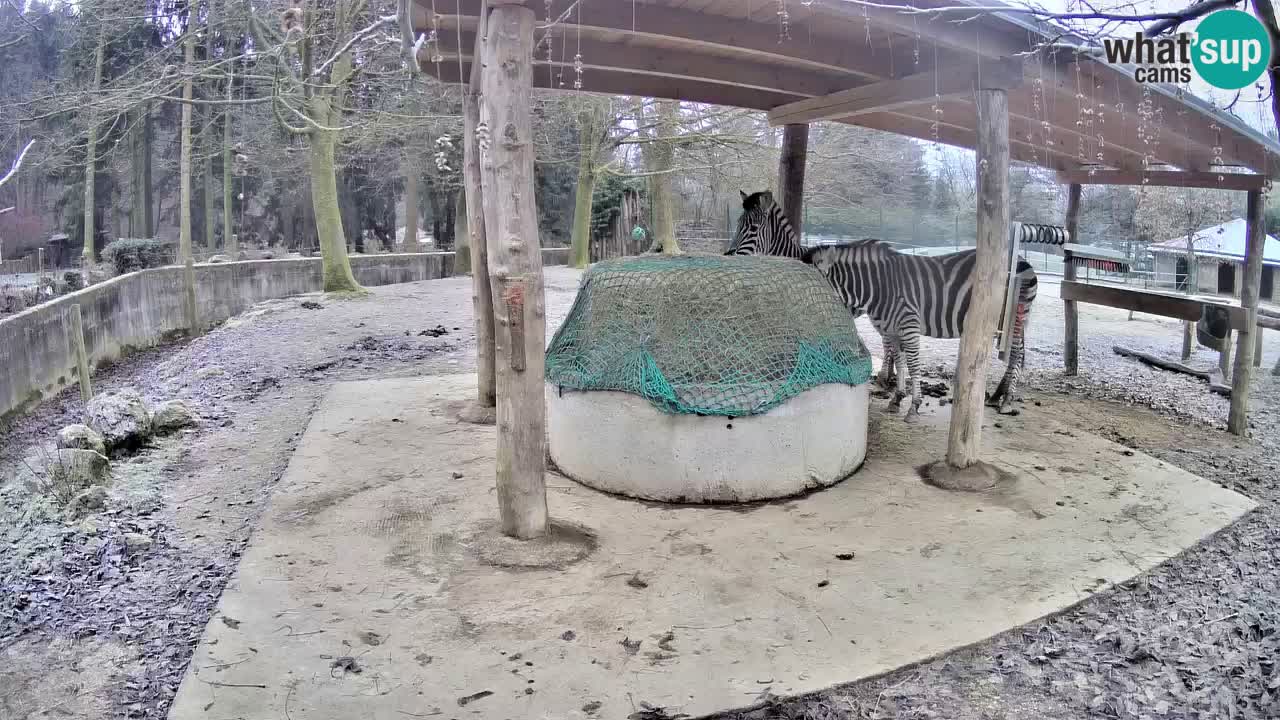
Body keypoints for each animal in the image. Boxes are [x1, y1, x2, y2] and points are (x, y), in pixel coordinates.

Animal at [727, 188, 1034, 417]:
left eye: (752, 227)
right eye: (738, 225)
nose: (728, 255)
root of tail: (1023, 261)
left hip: (1012, 319)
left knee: (1016, 353)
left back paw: (1006, 399)